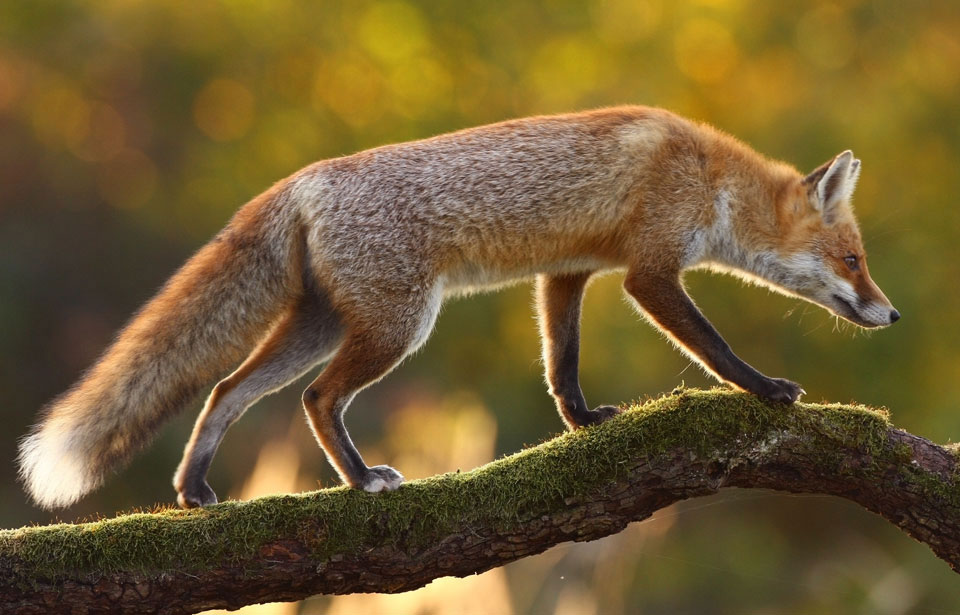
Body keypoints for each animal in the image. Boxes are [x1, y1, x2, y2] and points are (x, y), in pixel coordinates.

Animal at [16, 107, 900, 510]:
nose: (891, 316)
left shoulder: (569, 270)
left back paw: (196, 489)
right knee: (317, 398)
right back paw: (360, 478)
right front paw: (767, 388)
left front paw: (582, 422)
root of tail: (303, 177)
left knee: (226, 390)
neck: (707, 176)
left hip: (325, 324)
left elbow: (562, 363)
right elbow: (714, 346)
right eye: (856, 260)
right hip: (398, 327)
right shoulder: (648, 272)